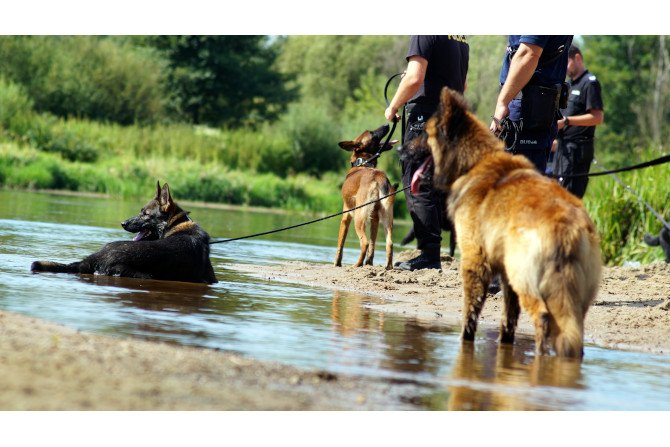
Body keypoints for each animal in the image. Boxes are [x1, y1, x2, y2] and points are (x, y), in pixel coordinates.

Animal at [334, 124, 400, 270]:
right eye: (372, 133)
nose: (387, 124)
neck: (363, 163)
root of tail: (378, 176)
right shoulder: (375, 218)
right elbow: (373, 244)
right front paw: (369, 263)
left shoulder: (346, 216)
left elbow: (340, 243)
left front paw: (337, 263)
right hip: (387, 219)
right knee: (389, 243)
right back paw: (388, 267)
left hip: (358, 219)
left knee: (364, 243)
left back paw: (357, 265)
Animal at [420, 89, 604, 358]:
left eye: (424, 133)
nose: (401, 150)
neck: (476, 161)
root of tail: (566, 227)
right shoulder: (505, 277)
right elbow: (508, 318)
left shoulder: (474, 260)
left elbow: (470, 313)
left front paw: (465, 341)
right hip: (570, 299)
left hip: (525, 279)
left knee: (543, 318)